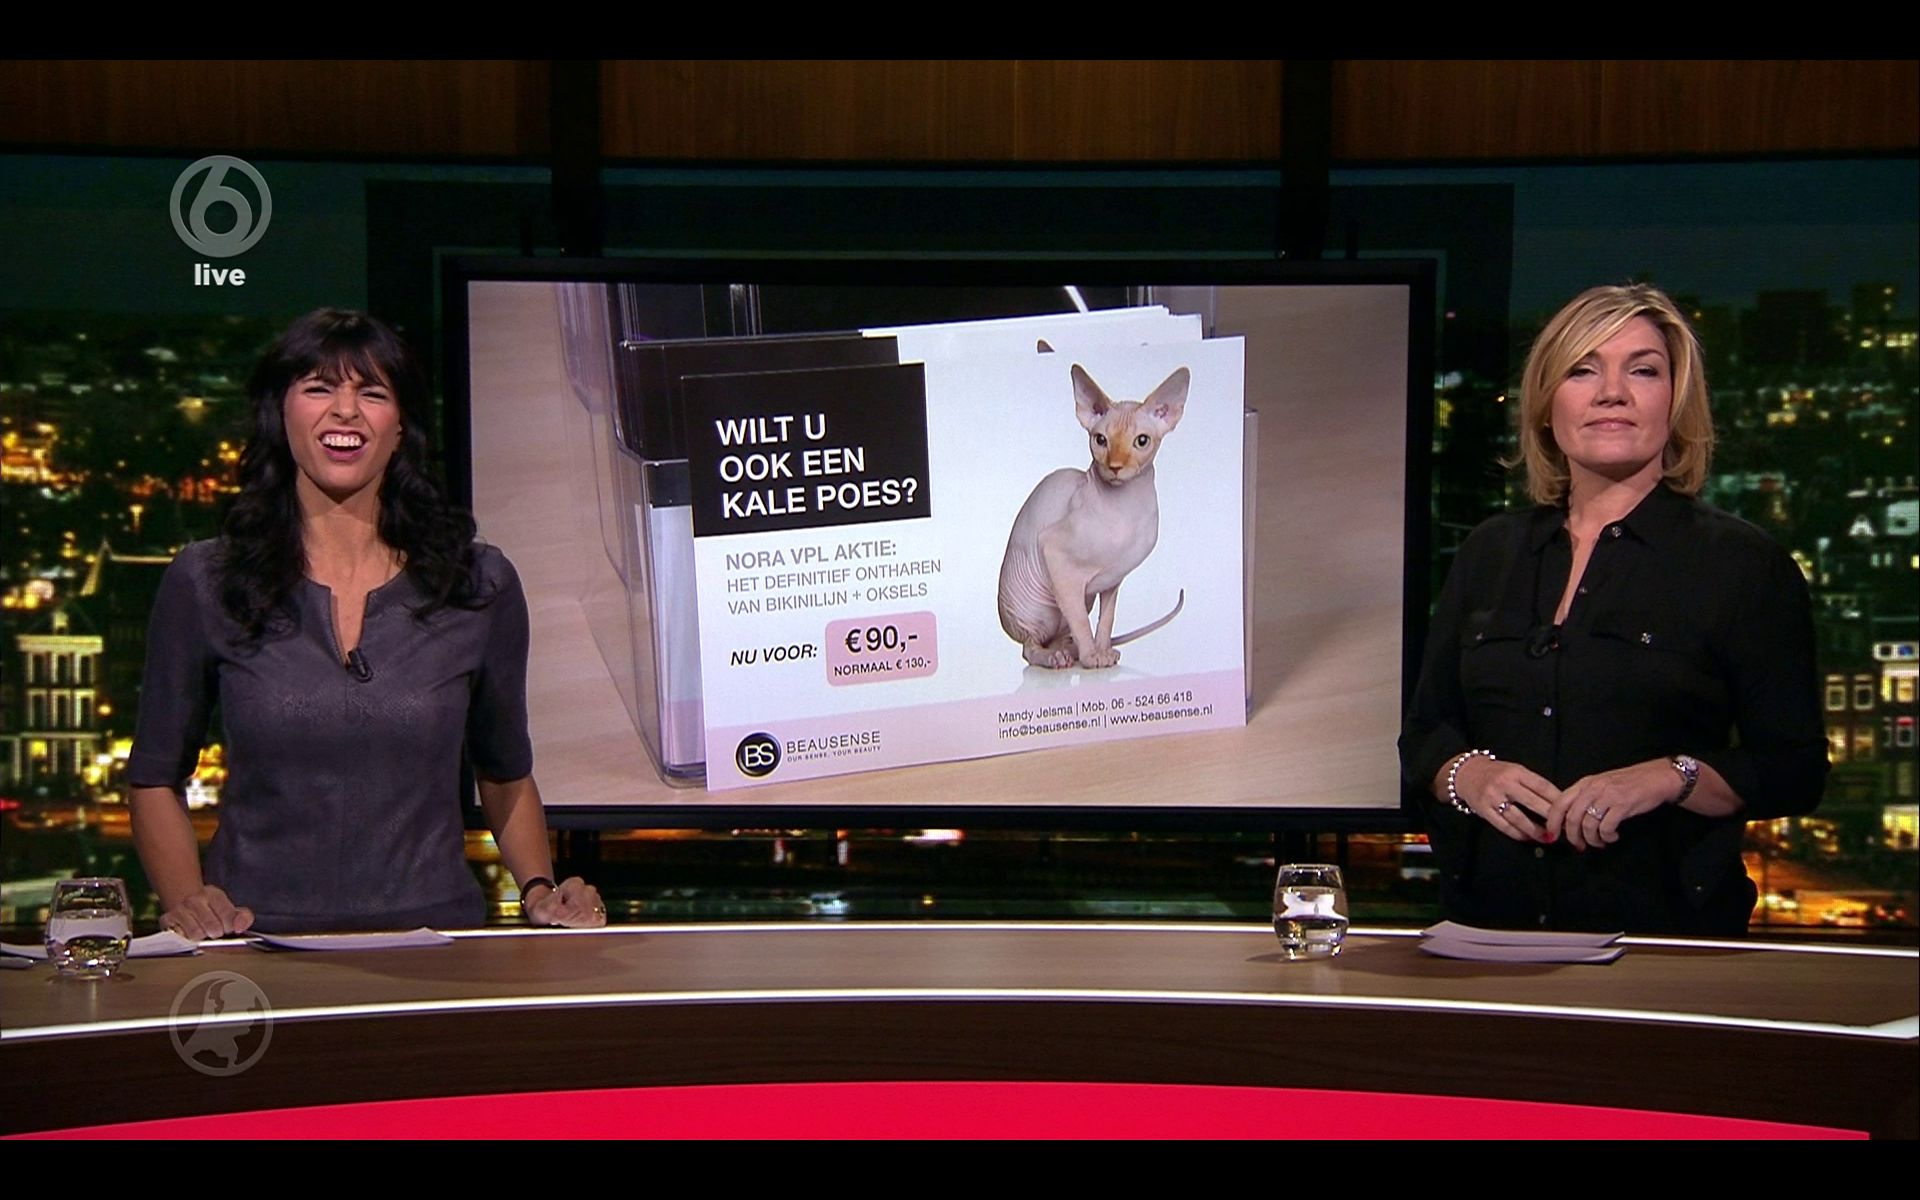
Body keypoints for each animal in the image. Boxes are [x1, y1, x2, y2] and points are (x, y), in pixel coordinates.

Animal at [997, 362, 1188, 669]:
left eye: (1142, 441)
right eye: (1101, 440)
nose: (1115, 466)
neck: (1125, 509)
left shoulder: (1114, 578)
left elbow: (1106, 619)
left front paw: (1102, 650)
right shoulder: (1056, 554)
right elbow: (1080, 620)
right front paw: (1091, 656)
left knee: (1061, 636)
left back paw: (1068, 650)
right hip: (1037, 610)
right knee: (1030, 646)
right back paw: (1055, 656)